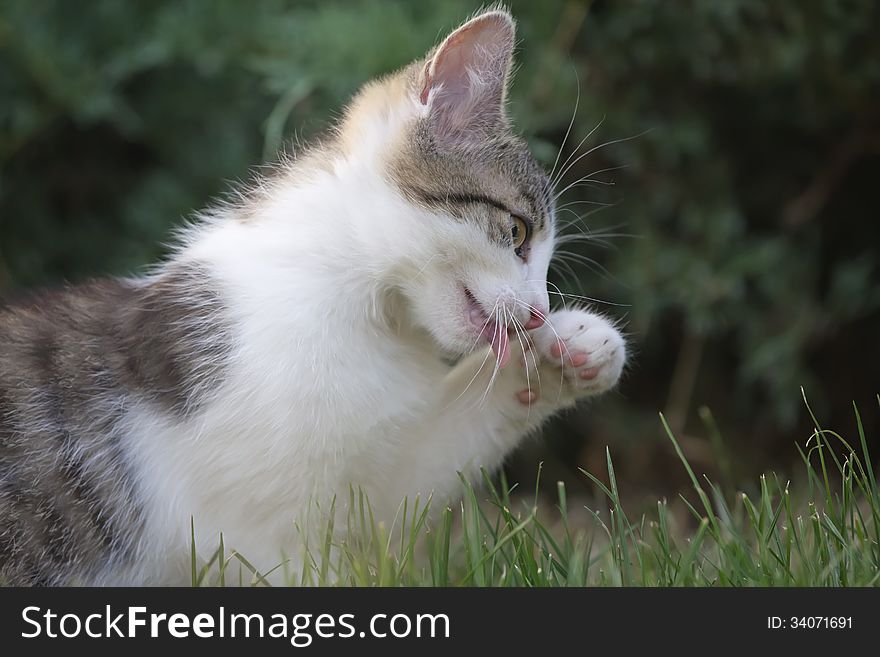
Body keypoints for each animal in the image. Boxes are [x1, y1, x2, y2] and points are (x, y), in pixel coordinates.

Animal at [0, 9, 624, 584]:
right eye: (518, 231)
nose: (538, 311)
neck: (358, 309)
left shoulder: (367, 488)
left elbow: (414, 477)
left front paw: (573, 352)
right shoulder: (253, 533)